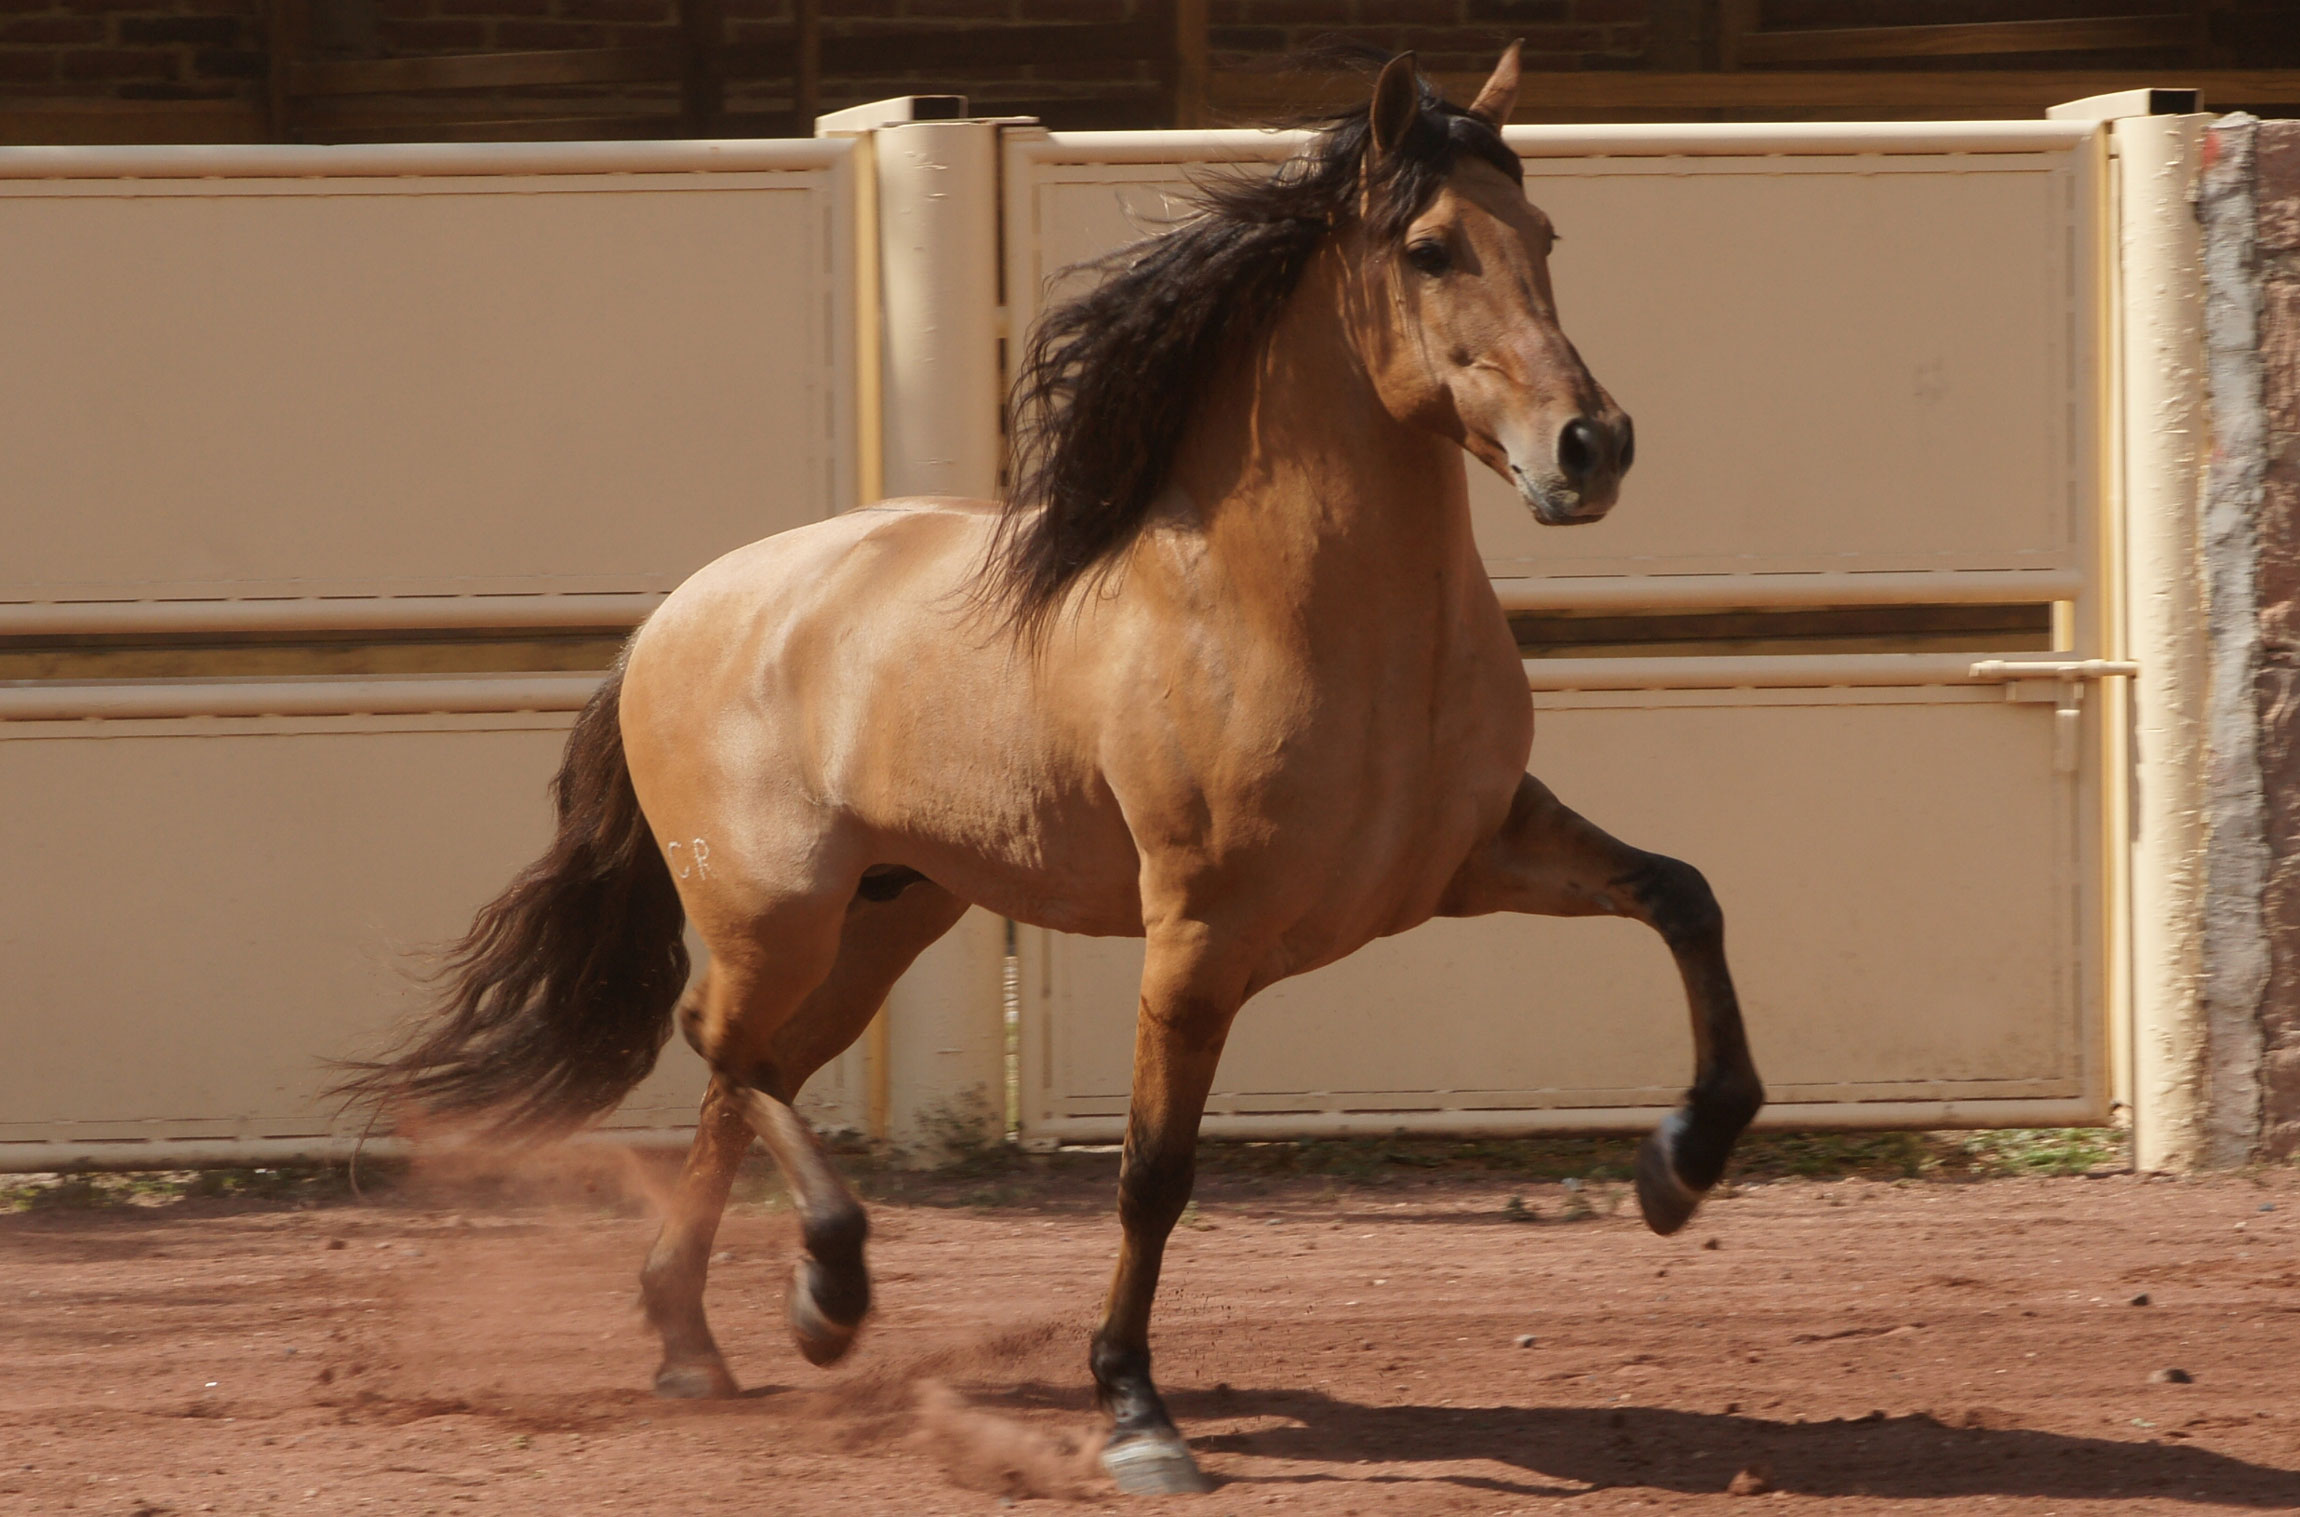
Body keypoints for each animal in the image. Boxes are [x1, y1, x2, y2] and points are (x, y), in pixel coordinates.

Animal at [340, 47, 1766, 1489]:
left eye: (1542, 236)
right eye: (1428, 249)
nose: (1590, 446)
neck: (1301, 616)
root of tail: (670, 618)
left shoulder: (1472, 854)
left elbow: (1683, 894)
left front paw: (1679, 1164)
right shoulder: (1197, 932)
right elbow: (1152, 1171)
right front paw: (1135, 1414)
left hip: (887, 920)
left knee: (753, 1071)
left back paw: (701, 1337)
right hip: (775, 913)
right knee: (718, 1043)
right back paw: (825, 1292)